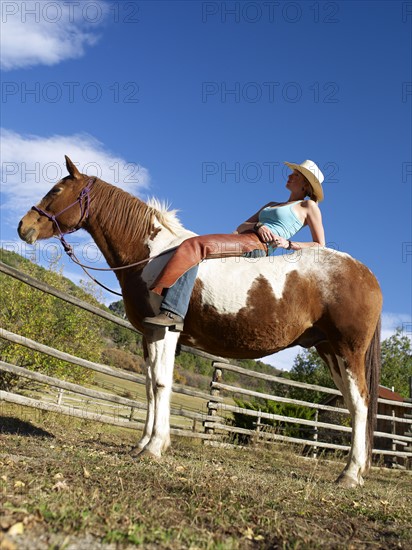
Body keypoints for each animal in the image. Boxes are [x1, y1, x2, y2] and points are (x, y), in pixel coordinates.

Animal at [17, 155, 382, 488]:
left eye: (57, 189)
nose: (23, 227)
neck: (153, 255)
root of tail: (366, 274)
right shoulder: (149, 333)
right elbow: (149, 387)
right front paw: (142, 444)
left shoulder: (166, 330)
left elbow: (161, 384)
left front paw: (154, 447)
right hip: (329, 351)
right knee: (353, 408)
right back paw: (356, 470)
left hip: (348, 351)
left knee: (361, 404)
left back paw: (349, 475)